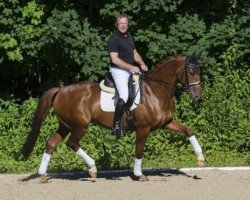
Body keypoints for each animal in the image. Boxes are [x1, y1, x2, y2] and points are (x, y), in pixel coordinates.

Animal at [21, 51, 204, 181]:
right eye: (190, 71)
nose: (197, 96)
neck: (155, 92)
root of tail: (61, 90)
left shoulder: (167, 122)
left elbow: (189, 131)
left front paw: (200, 158)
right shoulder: (143, 129)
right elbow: (139, 151)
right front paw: (139, 174)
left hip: (65, 125)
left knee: (51, 143)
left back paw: (43, 175)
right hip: (79, 126)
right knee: (72, 143)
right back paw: (93, 169)